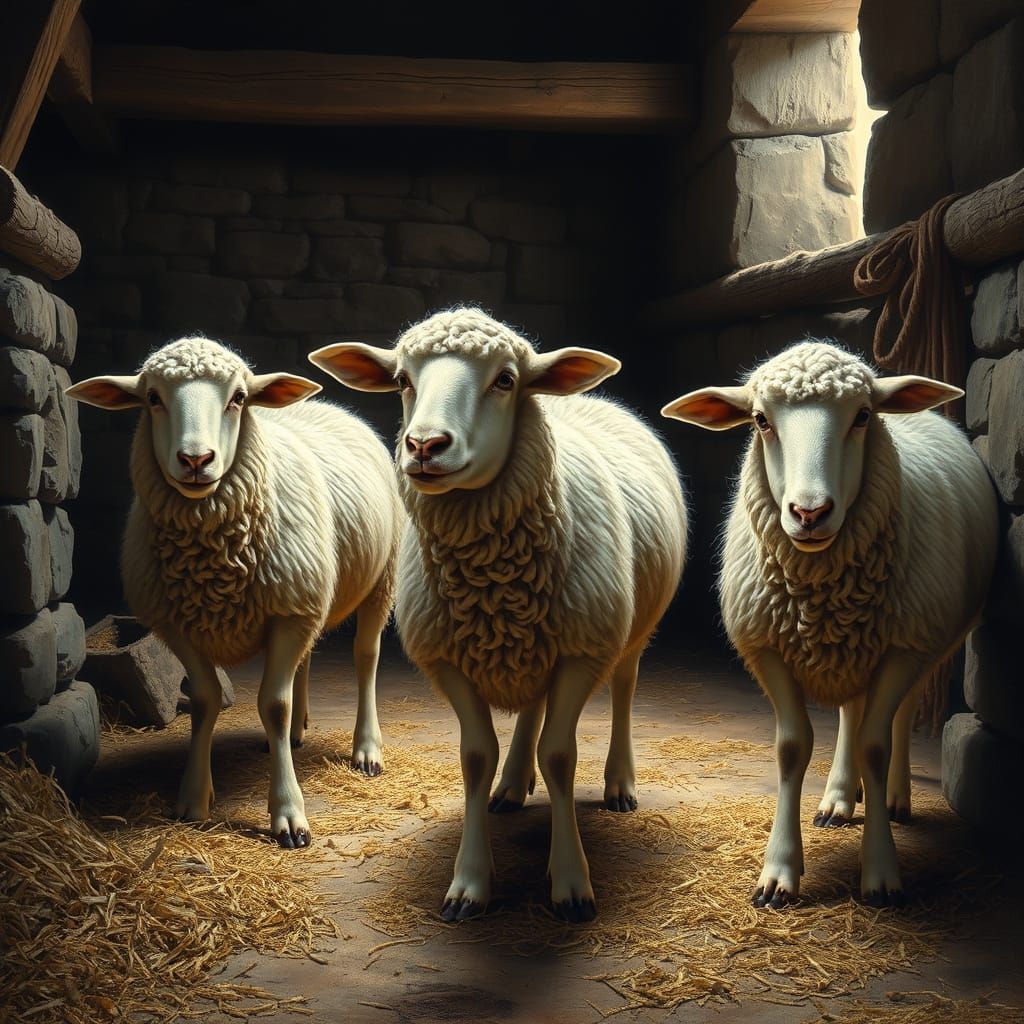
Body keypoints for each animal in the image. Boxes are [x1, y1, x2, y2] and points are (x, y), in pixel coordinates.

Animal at [66, 336, 404, 848]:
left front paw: (288, 815)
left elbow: (273, 705)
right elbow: (205, 700)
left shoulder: (290, 613)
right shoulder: (178, 624)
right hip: (311, 590)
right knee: (305, 661)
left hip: (379, 578)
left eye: (239, 398)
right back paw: (298, 733)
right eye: (152, 398)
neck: (212, 559)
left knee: (366, 657)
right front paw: (192, 798)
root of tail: (327, 406)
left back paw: (366, 749)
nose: (195, 460)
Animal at [308, 308, 687, 922]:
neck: (494, 585)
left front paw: (571, 881)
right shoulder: (447, 661)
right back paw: (512, 785)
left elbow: (560, 756)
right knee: (532, 705)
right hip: (534, 643)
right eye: (402, 380)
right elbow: (475, 756)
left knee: (625, 689)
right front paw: (469, 881)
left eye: (505, 380)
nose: (424, 445)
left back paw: (619, 783)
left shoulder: (582, 652)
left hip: (631, 627)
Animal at [662, 340, 997, 907]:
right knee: (851, 711)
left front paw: (880, 869)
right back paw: (840, 797)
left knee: (899, 713)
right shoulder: (766, 648)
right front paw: (779, 871)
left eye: (862, 416)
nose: (809, 512)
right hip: (857, 648)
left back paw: (896, 797)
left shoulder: (904, 646)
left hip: (926, 637)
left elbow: (875, 745)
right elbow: (794, 747)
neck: (822, 592)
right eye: (760, 420)